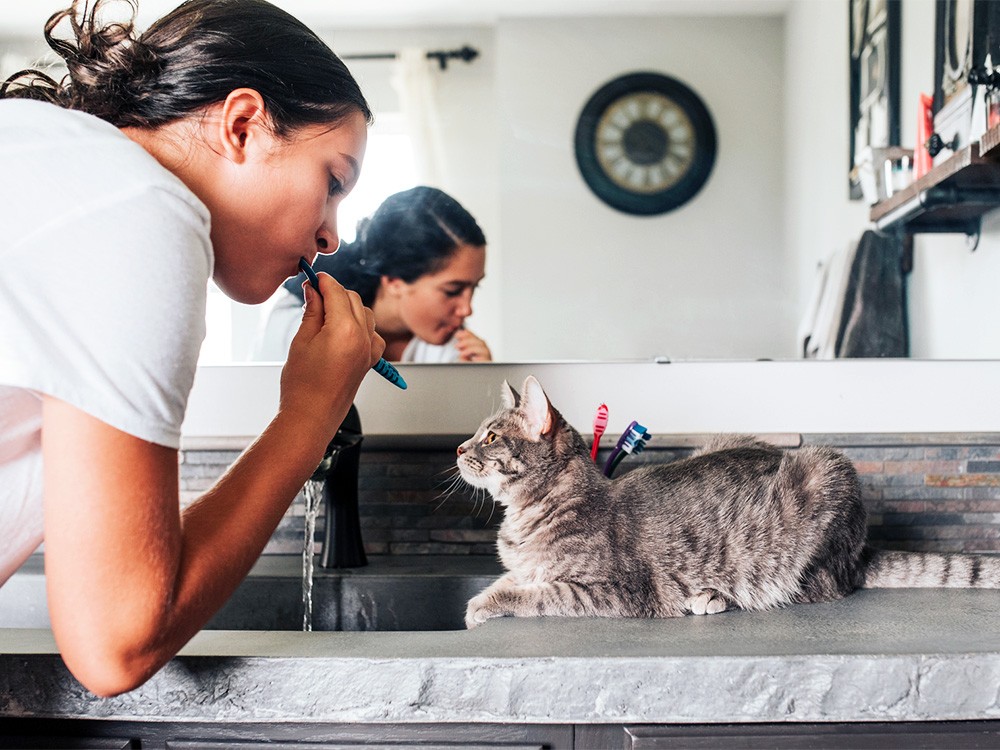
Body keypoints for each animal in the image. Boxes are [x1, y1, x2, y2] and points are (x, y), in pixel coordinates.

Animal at [458, 376, 1000, 628]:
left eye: (490, 436)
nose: (460, 448)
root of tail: (858, 553)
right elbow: (511, 579)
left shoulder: (612, 591)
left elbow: (532, 593)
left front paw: (480, 606)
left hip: (823, 480)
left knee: (810, 588)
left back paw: (715, 595)